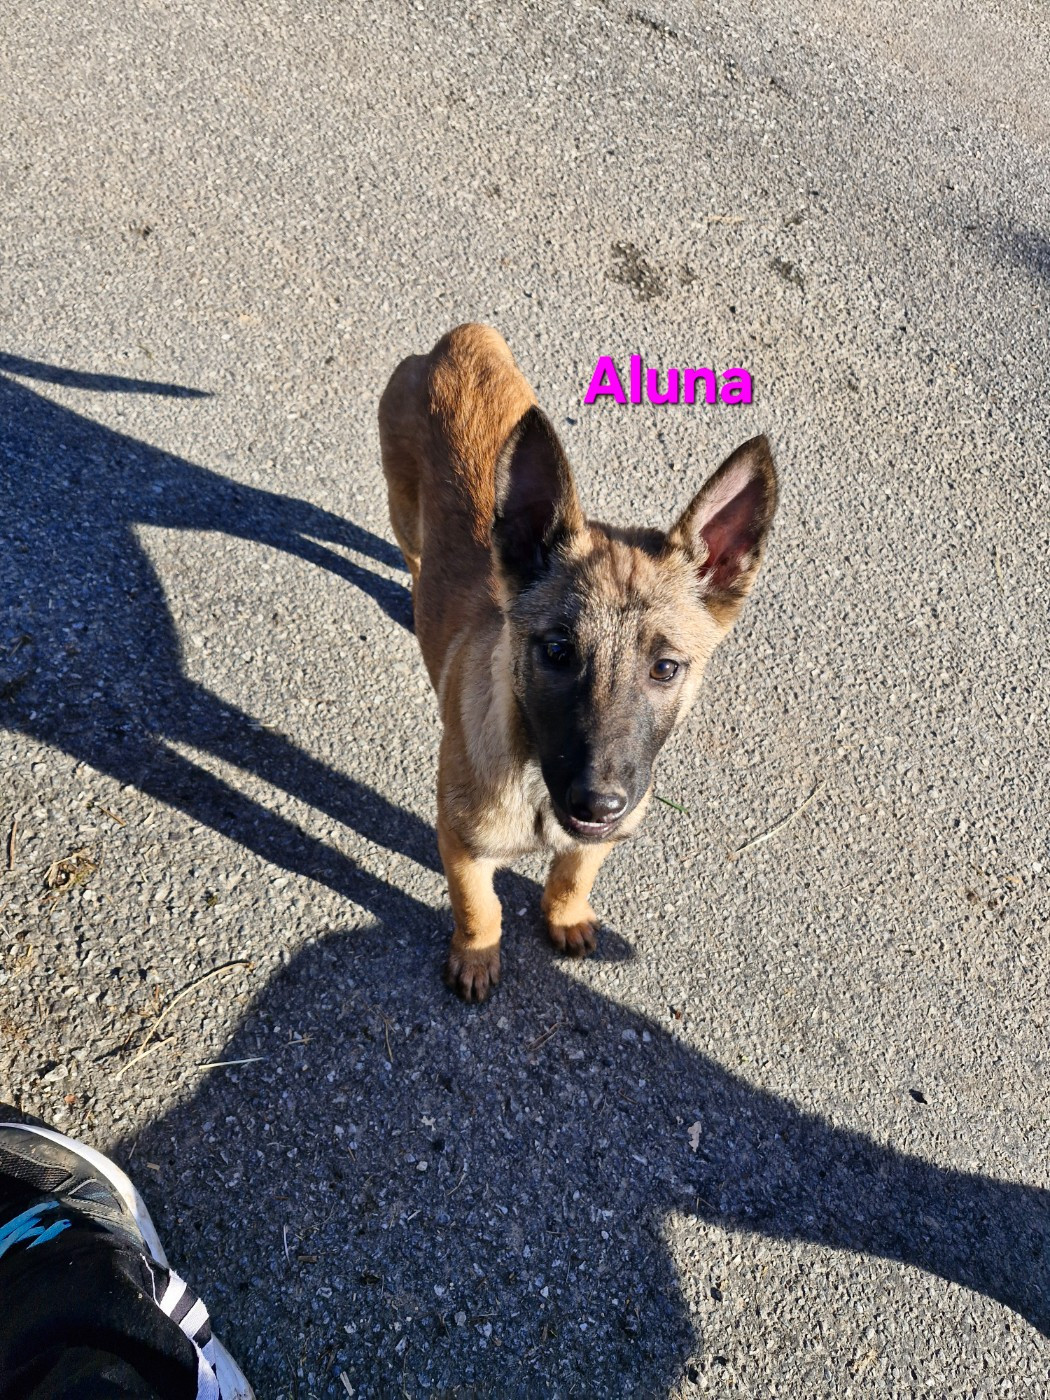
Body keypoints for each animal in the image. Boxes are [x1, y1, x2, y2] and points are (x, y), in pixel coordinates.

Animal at [379, 324, 778, 1001]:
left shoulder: (599, 837)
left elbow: (573, 873)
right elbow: (479, 906)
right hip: (401, 505)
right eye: (558, 652)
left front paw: (564, 916)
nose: (597, 804)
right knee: (411, 554)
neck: (533, 776)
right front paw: (477, 956)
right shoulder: (460, 843)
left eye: (666, 668)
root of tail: (461, 339)